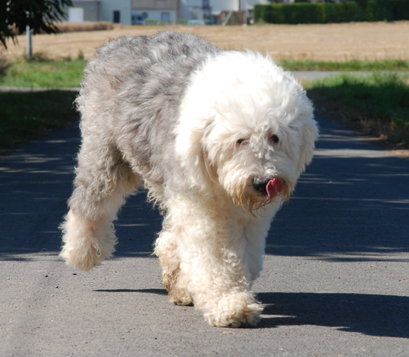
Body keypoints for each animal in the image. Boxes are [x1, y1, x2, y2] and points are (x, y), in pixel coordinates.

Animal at [59, 32, 318, 326]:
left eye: (275, 137)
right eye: (240, 140)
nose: (263, 182)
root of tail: (120, 40)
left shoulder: (247, 219)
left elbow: (243, 255)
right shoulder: (200, 206)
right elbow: (214, 257)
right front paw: (230, 305)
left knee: (169, 238)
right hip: (106, 154)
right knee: (90, 203)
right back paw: (83, 252)